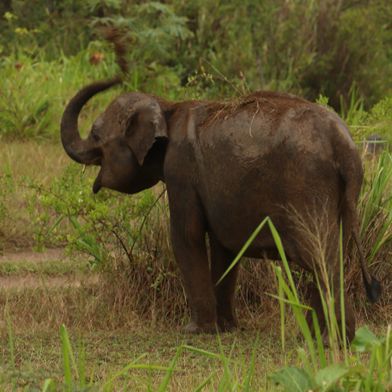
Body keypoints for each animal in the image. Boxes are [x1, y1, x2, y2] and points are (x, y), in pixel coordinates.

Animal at [60, 77, 380, 340]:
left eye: (96, 134)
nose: (115, 77)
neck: (167, 107)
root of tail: (345, 146)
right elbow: (224, 248)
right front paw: (227, 328)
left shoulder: (180, 169)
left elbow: (185, 237)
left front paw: (195, 331)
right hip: (339, 196)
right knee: (331, 253)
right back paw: (317, 338)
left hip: (307, 186)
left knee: (319, 256)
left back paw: (330, 341)